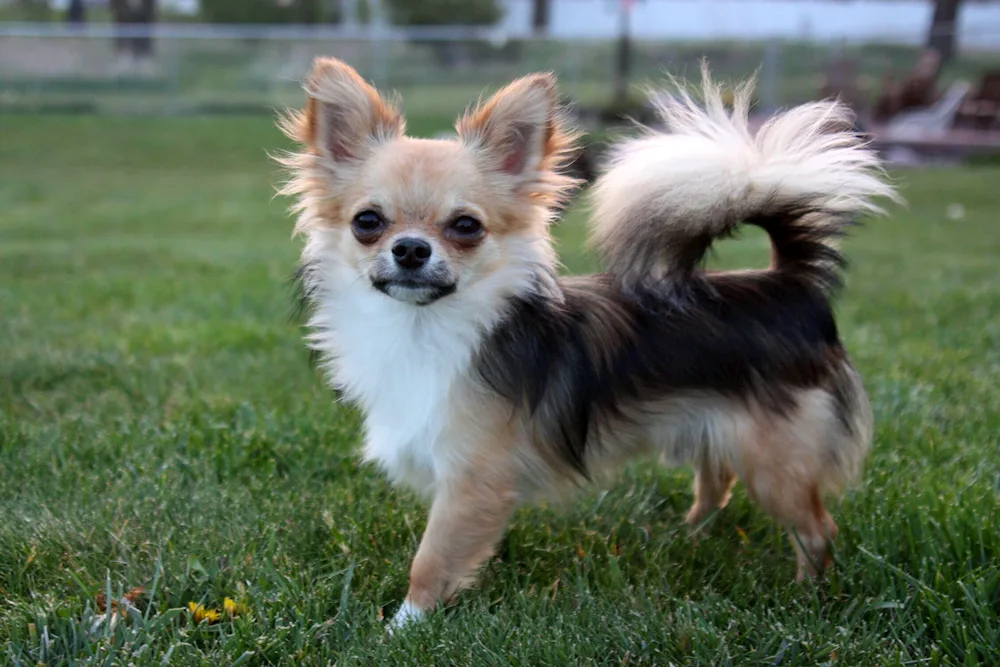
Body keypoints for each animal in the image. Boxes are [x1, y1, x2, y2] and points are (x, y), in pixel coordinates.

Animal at [276, 60, 900, 628]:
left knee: (816, 528)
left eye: (465, 227)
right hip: (717, 425)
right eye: (368, 221)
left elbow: (430, 561)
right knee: (716, 483)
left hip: (777, 463)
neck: (423, 326)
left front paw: (402, 628)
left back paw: (807, 598)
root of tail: (787, 281)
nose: (409, 249)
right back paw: (690, 538)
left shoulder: (472, 482)